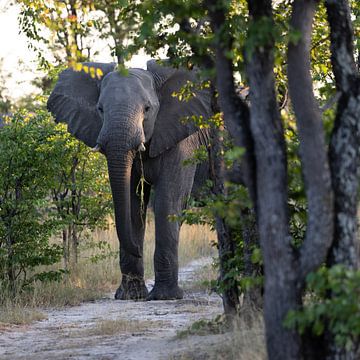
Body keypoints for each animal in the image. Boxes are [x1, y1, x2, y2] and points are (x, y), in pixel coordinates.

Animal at [47, 59, 211, 300]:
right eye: (100, 109)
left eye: (147, 109)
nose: (138, 250)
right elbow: (132, 207)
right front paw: (131, 296)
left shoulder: (184, 137)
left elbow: (168, 201)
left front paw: (165, 297)